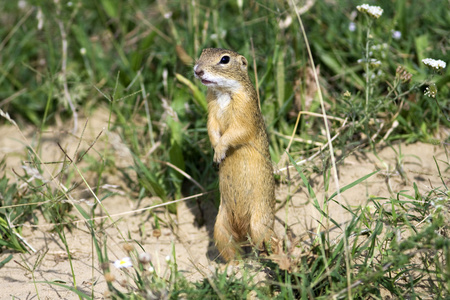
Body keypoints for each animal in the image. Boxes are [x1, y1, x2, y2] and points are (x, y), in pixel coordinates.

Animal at [192, 48, 274, 262]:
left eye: (224, 59)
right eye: (203, 52)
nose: (197, 70)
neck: (223, 93)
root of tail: (242, 229)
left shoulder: (244, 114)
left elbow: (234, 133)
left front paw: (220, 151)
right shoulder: (211, 113)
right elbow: (212, 130)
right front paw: (216, 154)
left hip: (259, 226)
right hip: (220, 229)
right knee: (232, 253)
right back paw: (233, 266)